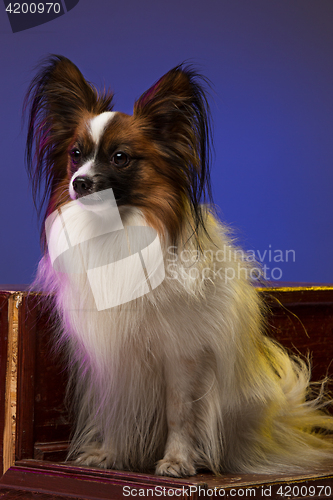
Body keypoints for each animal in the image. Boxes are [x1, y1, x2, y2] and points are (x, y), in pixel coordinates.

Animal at [25, 55, 332, 476]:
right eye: (75, 154)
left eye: (120, 157)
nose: (80, 183)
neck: (118, 230)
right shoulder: (116, 356)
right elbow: (118, 411)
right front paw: (109, 456)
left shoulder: (182, 356)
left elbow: (180, 413)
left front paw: (177, 460)